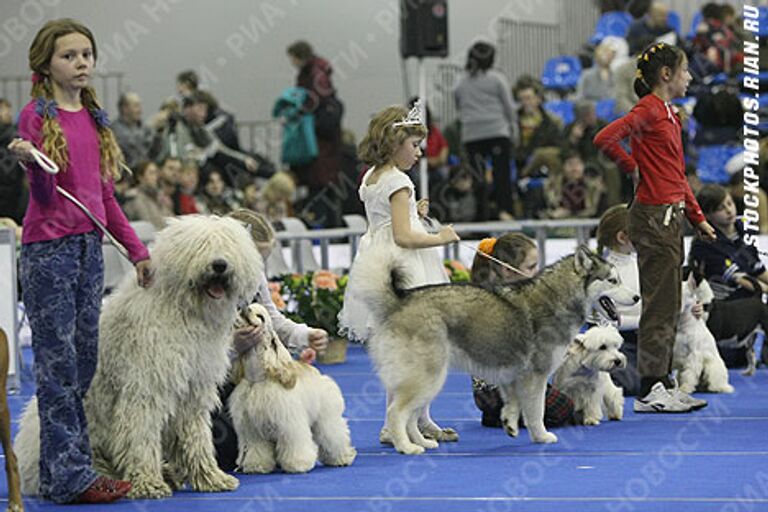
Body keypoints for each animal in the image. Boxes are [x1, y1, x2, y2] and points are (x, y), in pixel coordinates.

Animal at [14, 214, 260, 498]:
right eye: (201, 246)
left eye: (227, 245)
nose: (220, 264)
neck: (183, 310)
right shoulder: (145, 387)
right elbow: (140, 435)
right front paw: (147, 482)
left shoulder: (192, 389)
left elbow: (195, 436)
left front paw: (210, 477)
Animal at [228, 302, 356, 474]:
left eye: (260, 316)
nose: (244, 307)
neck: (257, 378)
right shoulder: (252, 430)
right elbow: (257, 449)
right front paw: (257, 465)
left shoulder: (290, 424)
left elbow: (295, 444)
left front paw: (298, 464)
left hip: (326, 419)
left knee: (335, 435)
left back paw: (342, 458)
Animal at [352, 246, 640, 454]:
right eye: (613, 280)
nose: (637, 297)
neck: (561, 298)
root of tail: (400, 300)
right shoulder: (536, 376)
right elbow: (536, 411)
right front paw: (541, 436)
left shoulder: (513, 376)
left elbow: (513, 403)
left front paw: (510, 425)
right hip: (427, 377)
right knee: (395, 413)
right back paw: (406, 447)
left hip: (425, 378)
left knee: (411, 415)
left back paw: (422, 442)